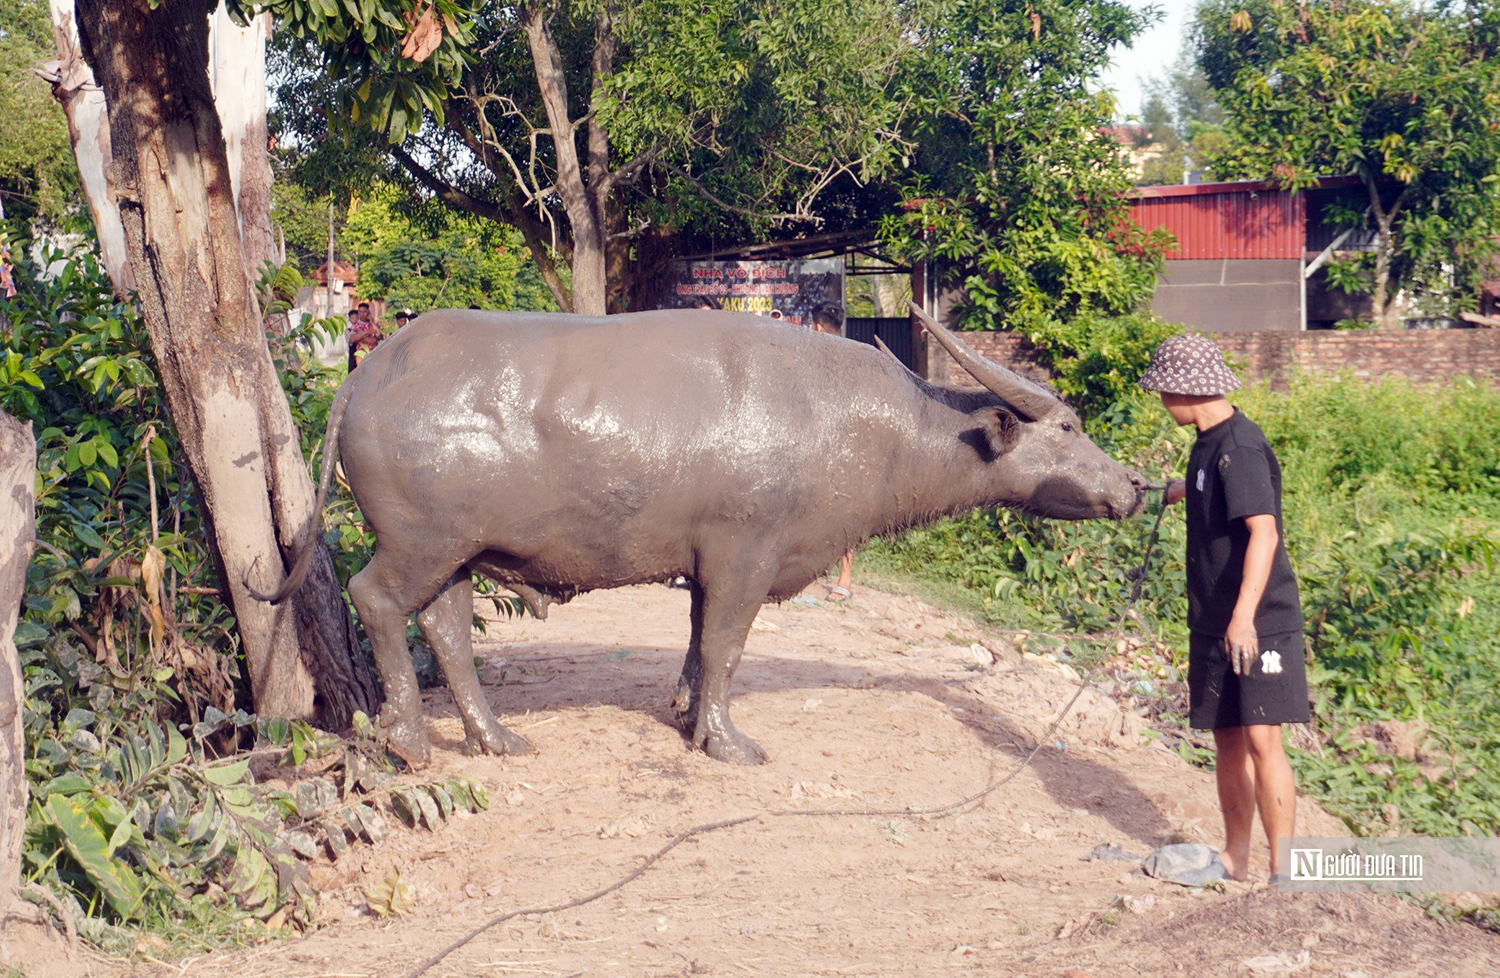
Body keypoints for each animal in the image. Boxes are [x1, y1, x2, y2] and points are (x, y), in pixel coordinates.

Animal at [261, 306, 1146, 765]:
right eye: (1070, 426)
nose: (1136, 486)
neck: (866, 427)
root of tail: (368, 374)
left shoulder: (704, 565)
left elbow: (694, 645)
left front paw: (687, 714)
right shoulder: (745, 556)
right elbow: (725, 648)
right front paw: (726, 741)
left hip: (458, 551)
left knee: (444, 627)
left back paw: (495, 739)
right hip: (420, 543)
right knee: (377, 601)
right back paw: (411, 741)